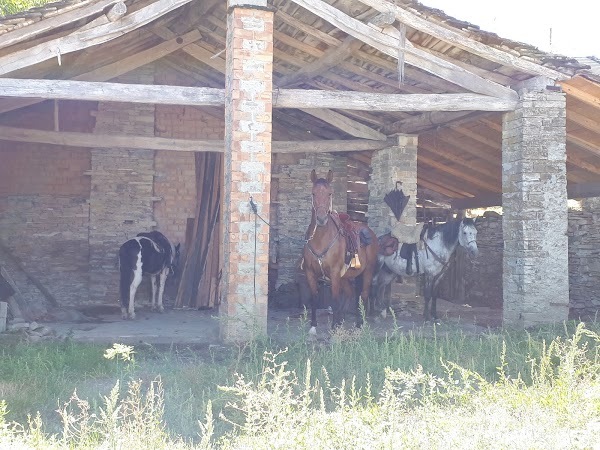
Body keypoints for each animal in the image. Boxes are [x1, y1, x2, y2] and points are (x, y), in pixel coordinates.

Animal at [302, 170, 378, 334]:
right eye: (313, 193)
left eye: (330, 193)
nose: (321, 219)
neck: (320, 239)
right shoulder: (310, 272)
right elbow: (314, 297)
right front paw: (314, 326)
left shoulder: (334, 272)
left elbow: (335, 297)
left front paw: (333, 326)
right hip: (346, 276)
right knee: (350, 293)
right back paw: (342, 319)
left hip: (368, 271)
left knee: (363, 294)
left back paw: (359, 323)